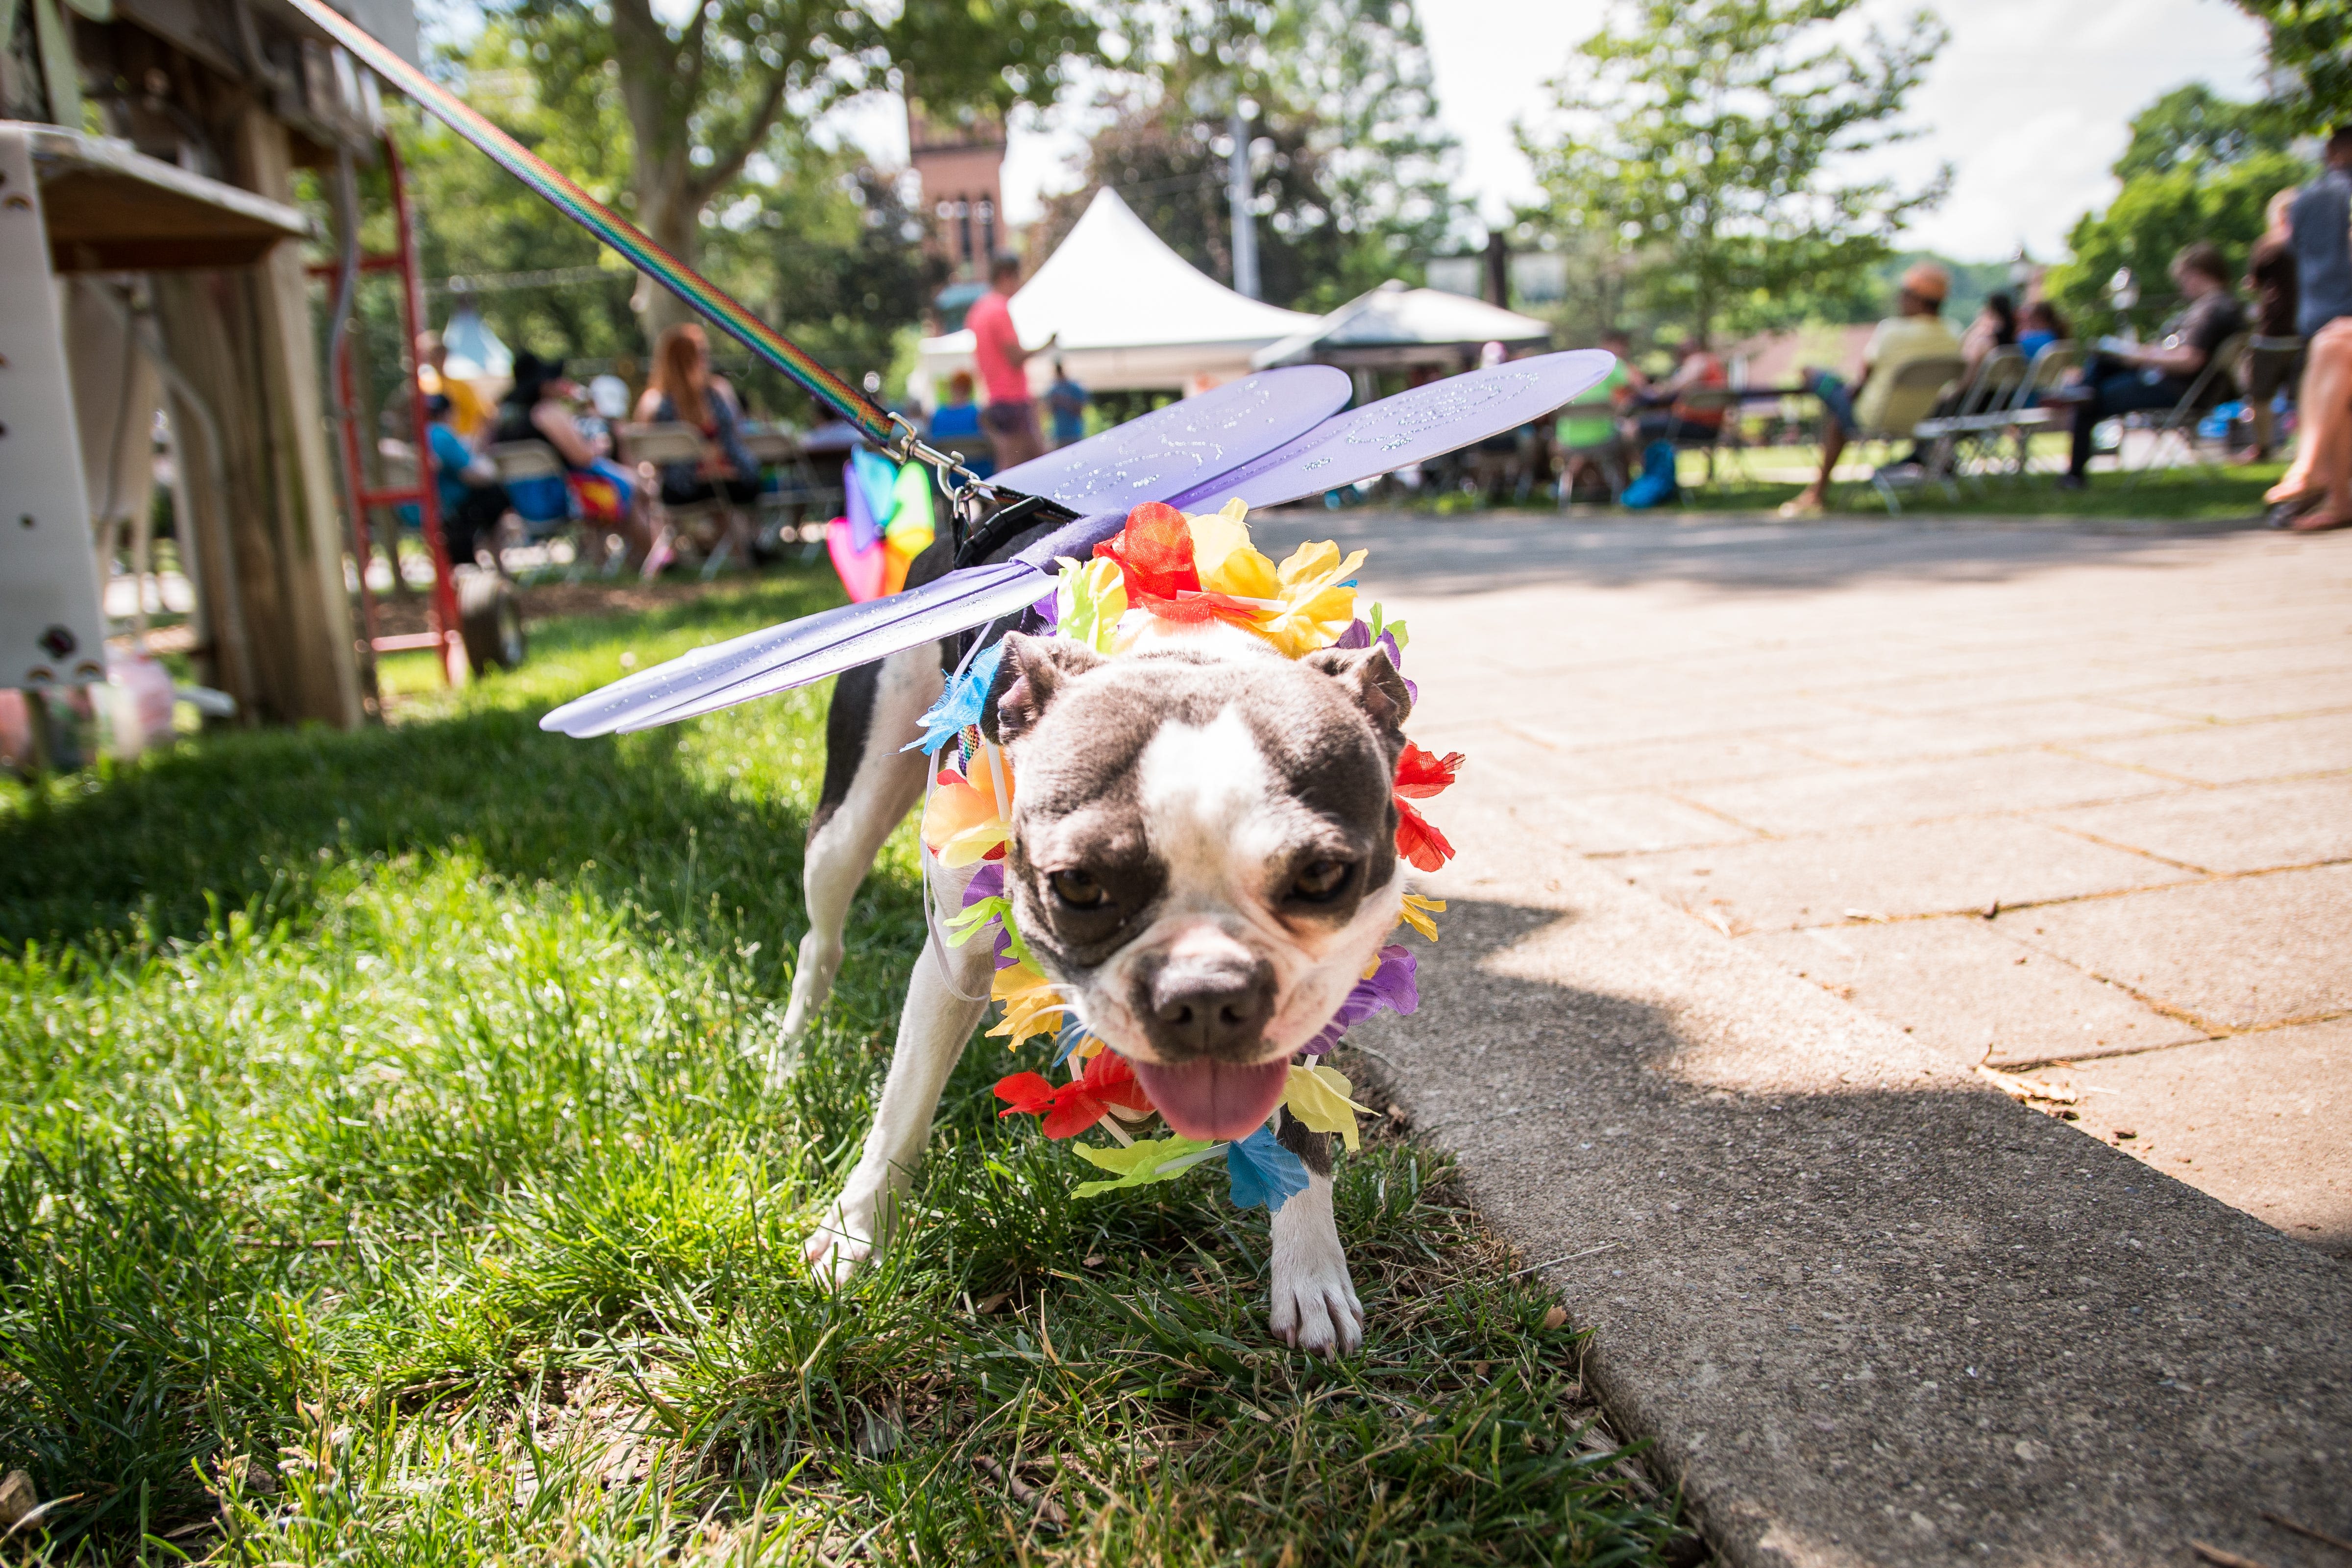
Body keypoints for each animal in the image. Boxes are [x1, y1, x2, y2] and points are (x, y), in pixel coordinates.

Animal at [790, 510, 1411, 1354]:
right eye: (1077, 885)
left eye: (1321, 877)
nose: (1205, 992)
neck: (1186, 653)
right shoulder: (954, 960)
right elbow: (901, 1109)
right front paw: (857, 1234)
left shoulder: (1319, 986)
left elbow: (1301, 1127)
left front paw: (1311, 1271)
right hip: (848, 819)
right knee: (819, 937)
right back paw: (788, 1055)